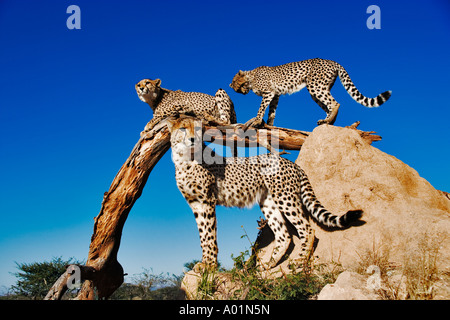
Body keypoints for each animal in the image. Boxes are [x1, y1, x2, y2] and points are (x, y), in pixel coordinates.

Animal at [165, 115, 362, 270]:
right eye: (183, 128)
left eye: (198, 129)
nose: (193, 139)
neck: (184, 159)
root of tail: (291, 162)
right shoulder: (196, 203)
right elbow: (203, 235)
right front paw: (205, 263)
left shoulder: (207, 201)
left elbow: (209, 234)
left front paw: (209, 266)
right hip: (268, 201)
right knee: (284, 234)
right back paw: (269, 264)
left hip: (285, 197)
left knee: (307, 228)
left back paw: (299, 261)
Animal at [229, 58, 390, 128]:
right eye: (237, 90)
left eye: (239, 85)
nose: (243, 92)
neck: (251, 76)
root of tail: (333, 61)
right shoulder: (275, 95)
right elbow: (272, 112)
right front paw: (270, 126)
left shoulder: (269, 93)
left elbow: (262, 108)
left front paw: (257, 120)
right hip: (317, 89)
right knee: (328, 105)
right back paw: (327, 121)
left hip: (315, 86)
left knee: (335, 103)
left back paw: (328, 120)